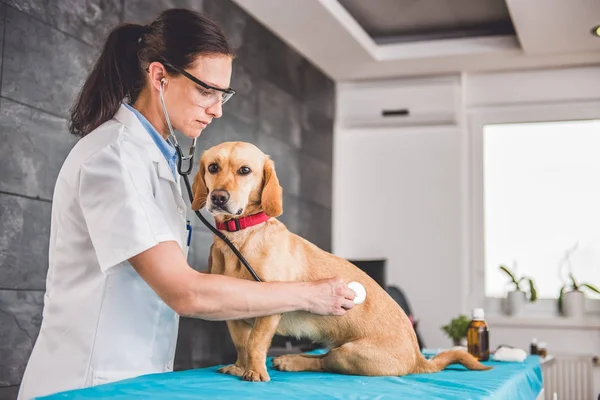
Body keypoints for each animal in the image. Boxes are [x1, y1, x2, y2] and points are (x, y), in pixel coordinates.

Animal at [190, 142, 490, 382]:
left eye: (245, 170)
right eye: (213, 167)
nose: (219, 197)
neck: (239, 236)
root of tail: (419, 359)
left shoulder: (269, 310)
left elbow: (254, 344)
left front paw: (253, 371)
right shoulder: (235, 315)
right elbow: (242, 344)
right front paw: (240, 367)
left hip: (350, 353)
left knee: (324, 362)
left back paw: (291, 361)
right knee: (320, 358)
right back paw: (286, 360)